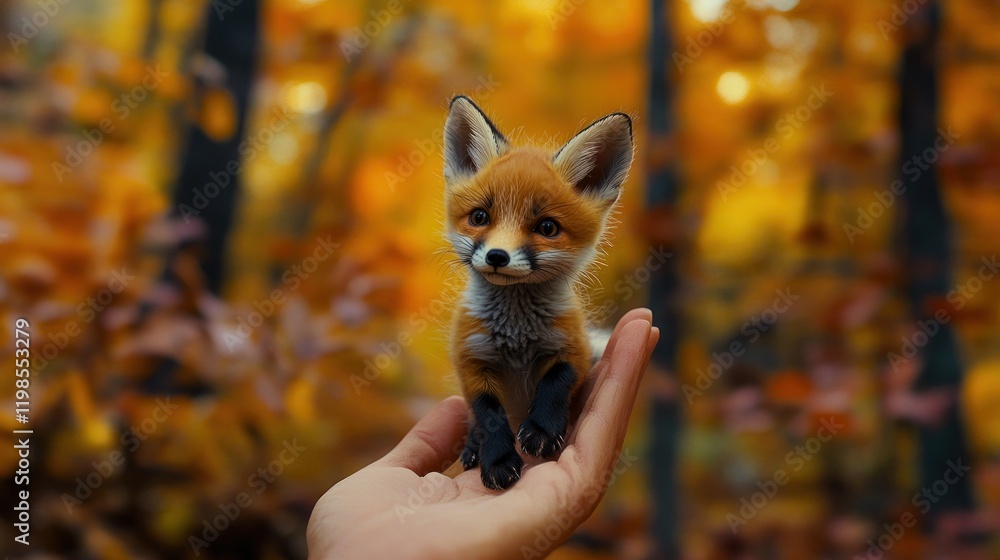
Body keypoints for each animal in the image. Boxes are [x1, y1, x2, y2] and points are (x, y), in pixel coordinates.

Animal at [443, 96, 634, 490]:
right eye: (480, 217)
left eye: (547, 227)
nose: (497, 256)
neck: (516, 336)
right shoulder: (471, 359)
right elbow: (488, 414)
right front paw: (498, 459)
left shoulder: (574, 347)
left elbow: (556, 382)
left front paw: (542, 431)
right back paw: (471, 448)